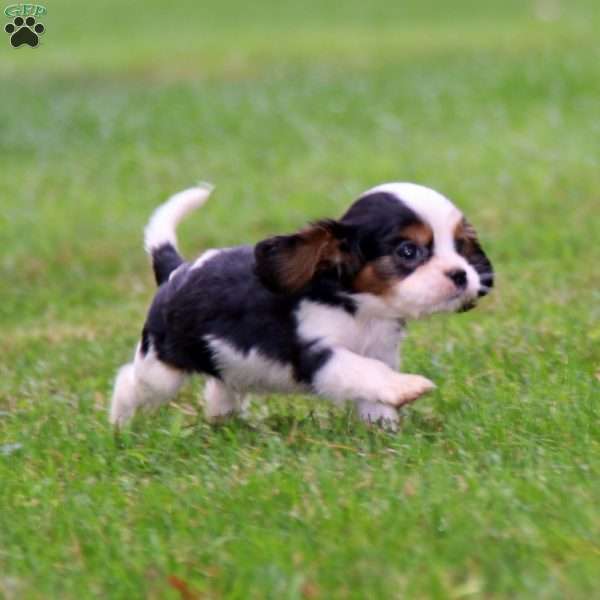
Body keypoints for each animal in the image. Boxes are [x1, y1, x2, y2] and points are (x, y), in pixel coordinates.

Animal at [110, 182, 494, 426]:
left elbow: (373, 391)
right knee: (130, 381)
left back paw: (225, 423)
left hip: (227, 361)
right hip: (161, 368)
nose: (462, 275)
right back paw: (120, 424)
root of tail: (175, 270)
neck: (362, 308)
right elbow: (366, 371)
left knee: (220, 386)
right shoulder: (319, 354)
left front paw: (384, 429)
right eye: (408, 251)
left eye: (461, 246)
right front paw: (406, 388)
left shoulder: (381, 350)